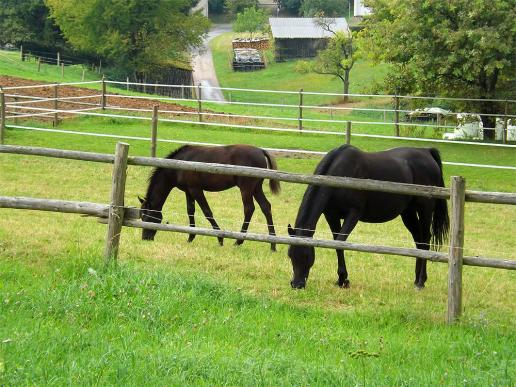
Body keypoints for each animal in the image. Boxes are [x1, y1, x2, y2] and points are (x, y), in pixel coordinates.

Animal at [139, 146, 280, 252]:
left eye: (147, 218)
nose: (145, 238)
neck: (181, 164)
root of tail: (261, 151)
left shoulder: (196, 190)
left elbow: (207, 212)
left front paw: (220, 238)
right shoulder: (188, 191)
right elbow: (190, 211)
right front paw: (190, 237)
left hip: (246, 188)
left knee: (249, 209)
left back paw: (239, 241)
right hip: (256, 188)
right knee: (266, 207)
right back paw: (273, 244)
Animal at [288, 147, 450, 290]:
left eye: (306, 255)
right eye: (290, 255)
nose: (297, 284)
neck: (340, 174)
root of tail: (427, 152)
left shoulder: (353, 214)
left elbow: (340, 242)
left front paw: (343, 280)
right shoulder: (331, 215)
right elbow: (335, 242)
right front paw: (341, 280)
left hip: (425, 210)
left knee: (425, 240)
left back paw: (421, 282)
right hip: (408, 212)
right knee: (418, 241)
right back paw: (416, 280)